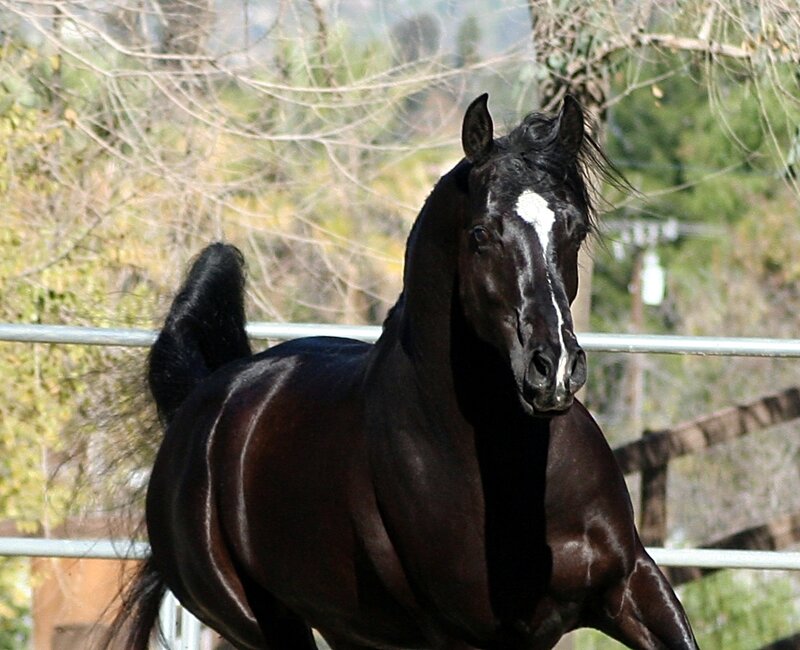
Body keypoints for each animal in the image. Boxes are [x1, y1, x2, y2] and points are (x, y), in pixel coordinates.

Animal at [110, 95, 699, 649]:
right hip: (263, 622)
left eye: (573, 228)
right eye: (481, 234)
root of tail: (204, 399)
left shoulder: (633, 584)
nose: (551, 369)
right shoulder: (472, 635)